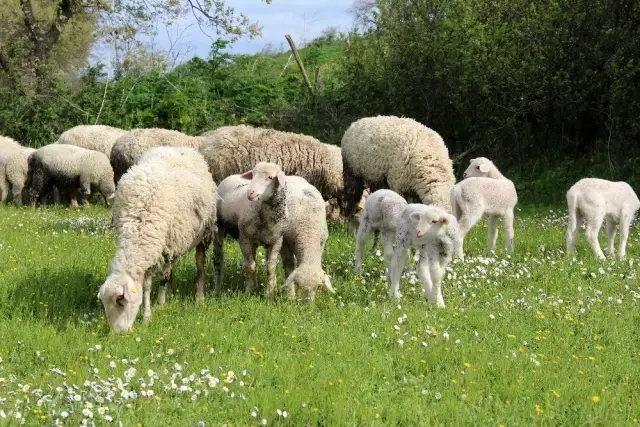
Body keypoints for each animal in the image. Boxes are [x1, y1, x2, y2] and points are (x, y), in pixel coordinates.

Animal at [97, 147, 218, 334]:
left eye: (120, 301)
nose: (118, 334)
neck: (138, 224)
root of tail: (179, 148)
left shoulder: (168, 246)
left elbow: (163, 278)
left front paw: (160, 305)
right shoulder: (152, 251)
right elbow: (147, 286)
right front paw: (148, 315)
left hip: (202, 234)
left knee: (200, 266)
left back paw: (199, 297)